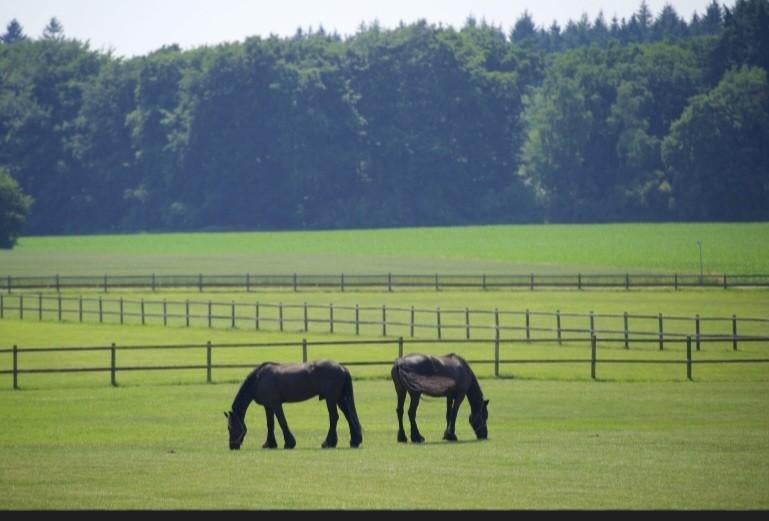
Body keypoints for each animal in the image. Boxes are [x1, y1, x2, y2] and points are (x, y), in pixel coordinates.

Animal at [225, 360, 363, 450]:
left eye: (229, 428)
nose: (232, 446)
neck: (258, 379)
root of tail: (342, 367)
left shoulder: (275, 404)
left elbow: (282, 422)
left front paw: (289, 443)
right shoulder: (268, 406)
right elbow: (270, 424)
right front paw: (270, 444)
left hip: (331, 399)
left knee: (334, 417)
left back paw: (328, 443)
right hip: (339, 399)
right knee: (349, 416)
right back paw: (354, 441)